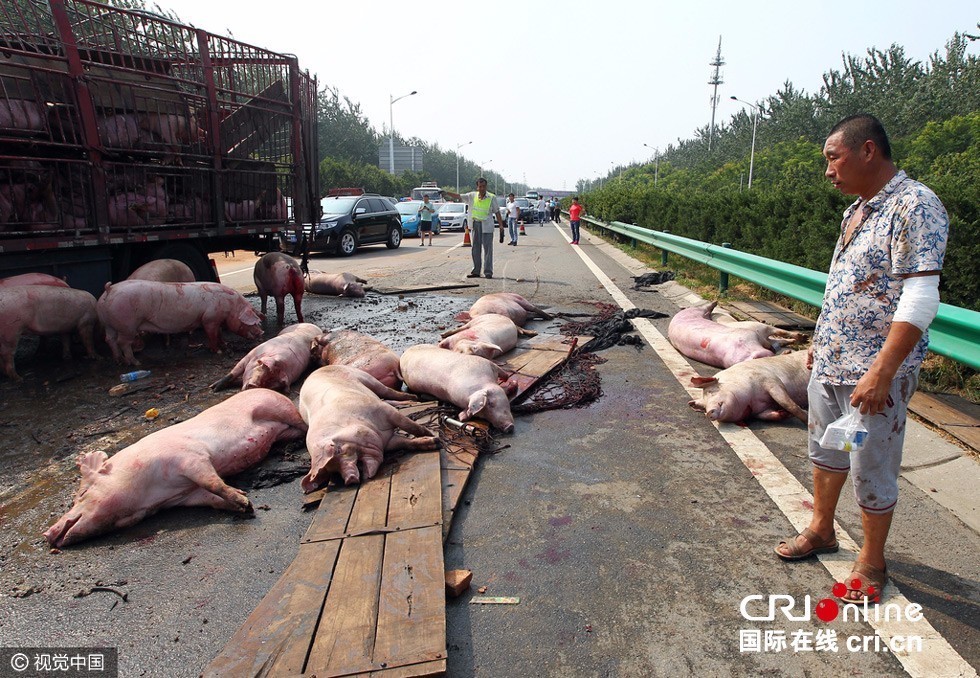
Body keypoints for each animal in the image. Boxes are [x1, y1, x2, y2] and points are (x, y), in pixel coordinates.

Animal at [45, 390, 306, 548]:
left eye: (82, 493)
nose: (47, 533)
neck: (152, 495)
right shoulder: (184, 496)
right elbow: (210, 498)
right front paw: (244, 503)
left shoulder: (191, 458)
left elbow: (212, 482)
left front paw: (244, 502)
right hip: (281, 429)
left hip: (278, 408)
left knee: (302, 423)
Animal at [96, 280, 264, 366]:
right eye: (253, 323)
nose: (261, 332)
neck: (230, 307)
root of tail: (109, 289)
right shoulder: (209, 319)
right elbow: (212, 335)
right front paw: (218, 352)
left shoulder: (216, 320)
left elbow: (219, 334)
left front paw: (225, 345)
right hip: (127, 325)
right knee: (123, 342)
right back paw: (135, 363)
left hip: (108, 323)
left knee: (109, 339)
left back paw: (118, 360)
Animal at [296, 366, 438, 488]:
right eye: (335, 470)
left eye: (338, 450)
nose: (350, 479)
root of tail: (317, 370)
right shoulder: (388, 441)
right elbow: (406, 443)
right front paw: (435, 442)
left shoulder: (385, 411)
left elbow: (409, 425)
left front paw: (431, 435)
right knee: (388, 398)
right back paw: (410, 403)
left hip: (366, 377)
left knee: (387, 391)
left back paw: (414, 398)